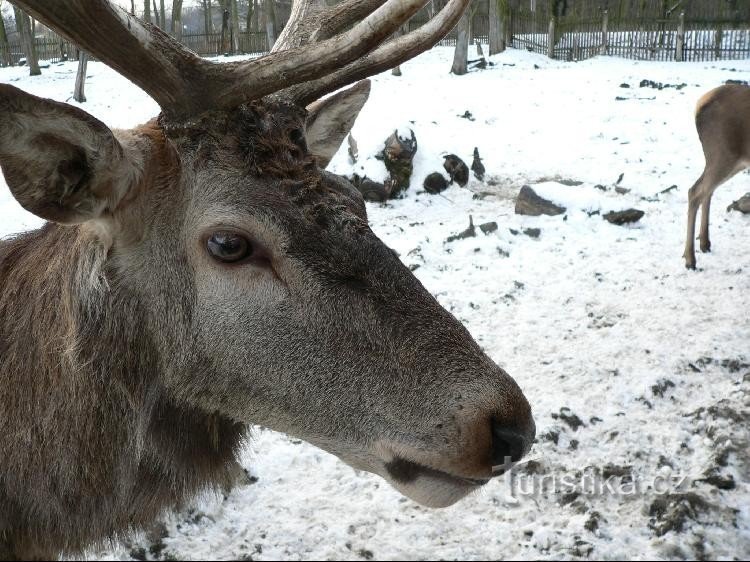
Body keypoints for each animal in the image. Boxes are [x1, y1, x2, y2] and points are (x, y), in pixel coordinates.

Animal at [688, 82, 750, 268]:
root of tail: (699, 103)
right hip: (722, 154)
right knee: (695, 191)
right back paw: (690, 259)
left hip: (729, 160)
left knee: (706, 190)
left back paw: (704, 243)